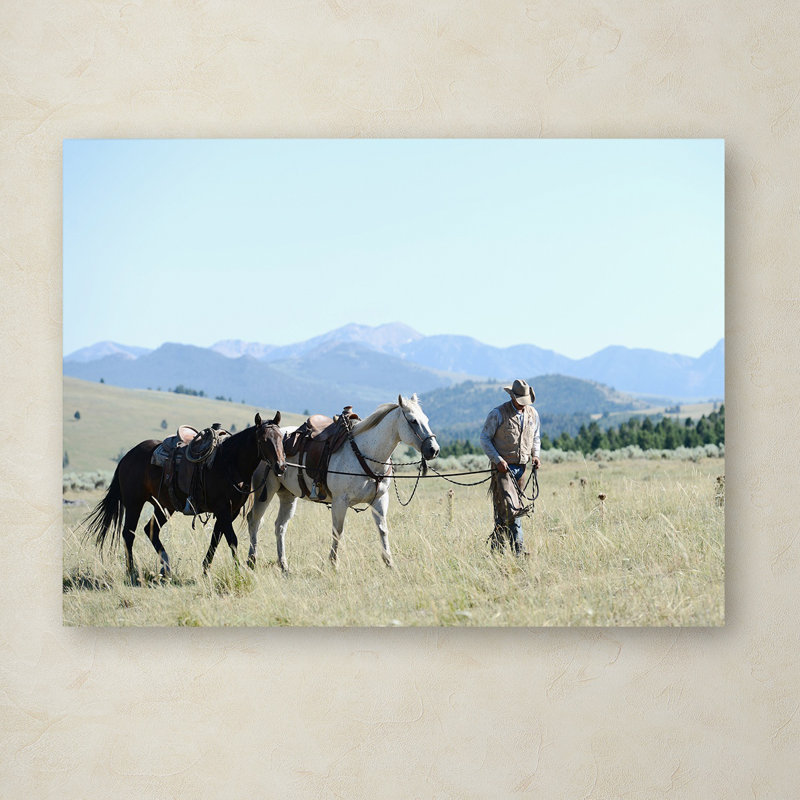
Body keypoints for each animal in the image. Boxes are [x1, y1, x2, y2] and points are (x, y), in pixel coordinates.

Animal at [83, 413, 286, 583]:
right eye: (264, 440)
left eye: (281, 438)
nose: (281, 466)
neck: (229, 463)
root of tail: (127, 457)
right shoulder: (222, 510)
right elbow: (232, 540)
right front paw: (238, 571)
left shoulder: (230, 512)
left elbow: (216, 539)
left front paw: (205, 570)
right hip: (134, 504)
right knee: (128, 534)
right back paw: (132, 572)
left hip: (164, 507)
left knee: (150, 530)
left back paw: (166, 568)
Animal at [246, 394, 439, 572]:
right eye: (413, 421)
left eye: (426, 420)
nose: (434, 449)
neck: (365, 453)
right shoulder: (340, 501)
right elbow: (337, 532)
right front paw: (333, 564)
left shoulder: (380, 499)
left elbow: (383, 529)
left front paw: (389, 562)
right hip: (265, 492)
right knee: (254, 520)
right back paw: (251, 561)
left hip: (288, 495)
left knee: (280, 526)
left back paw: (284, 565)